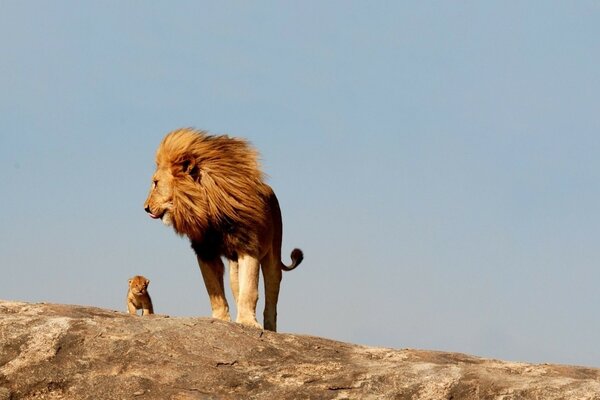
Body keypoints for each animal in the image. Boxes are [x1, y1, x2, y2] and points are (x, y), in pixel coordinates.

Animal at [144, 128, 304, 332]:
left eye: (156, 183)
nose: (145, 208)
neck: (208, 208)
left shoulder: (248, 246)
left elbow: (250, 290)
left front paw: (248, 322)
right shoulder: (205, 251)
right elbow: (214, 290)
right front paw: (221, 320)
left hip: (273, 255)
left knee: (271, 293)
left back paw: (269, 328)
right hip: (234, 268)